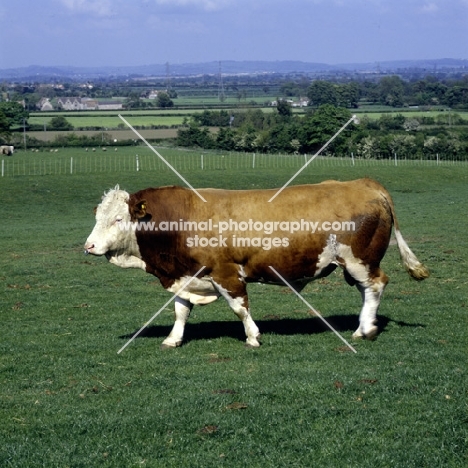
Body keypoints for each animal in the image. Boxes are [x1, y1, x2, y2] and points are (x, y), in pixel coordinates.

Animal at [83, 179, 428, 348]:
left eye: (117, 219)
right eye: (98, 217)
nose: (89, 246)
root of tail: (365, 183)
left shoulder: (225, 273)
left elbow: (239, 307)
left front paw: (253, 337)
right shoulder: (184, 275)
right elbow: (181, 310)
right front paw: (172, 339)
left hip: (360, 259)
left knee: (376, 285)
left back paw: (366, 329)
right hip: (354, 265)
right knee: (367, 290)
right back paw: (362, 325)